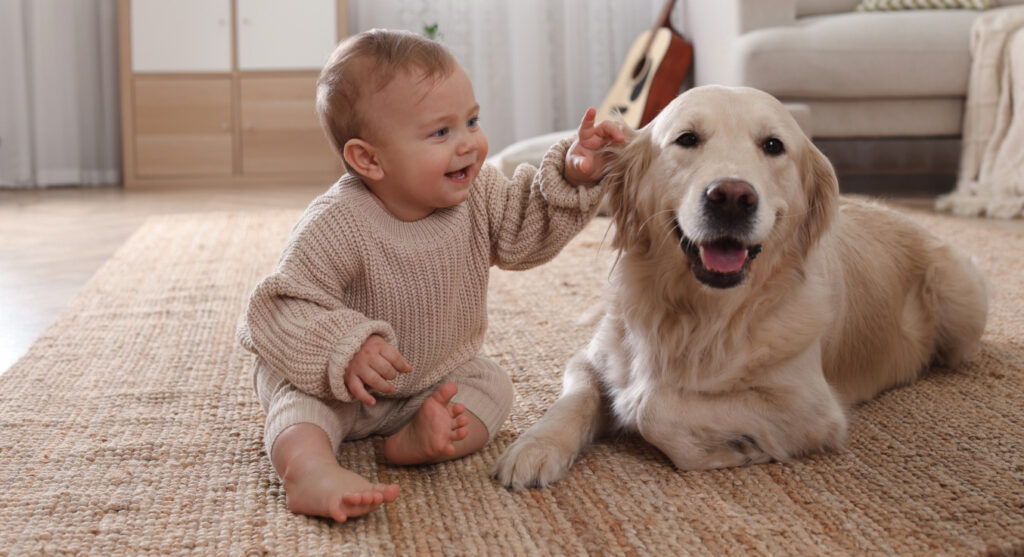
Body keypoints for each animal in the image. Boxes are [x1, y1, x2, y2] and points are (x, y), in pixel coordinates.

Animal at [491, 83, 987, 487]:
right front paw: (534, 447)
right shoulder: (591, 358)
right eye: (687, 139)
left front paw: (733, 447)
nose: (731, 197)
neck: (700, 314)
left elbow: (651, 401)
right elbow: (574, 397)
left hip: (959, 295)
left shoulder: (810, 409)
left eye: (773, 145)